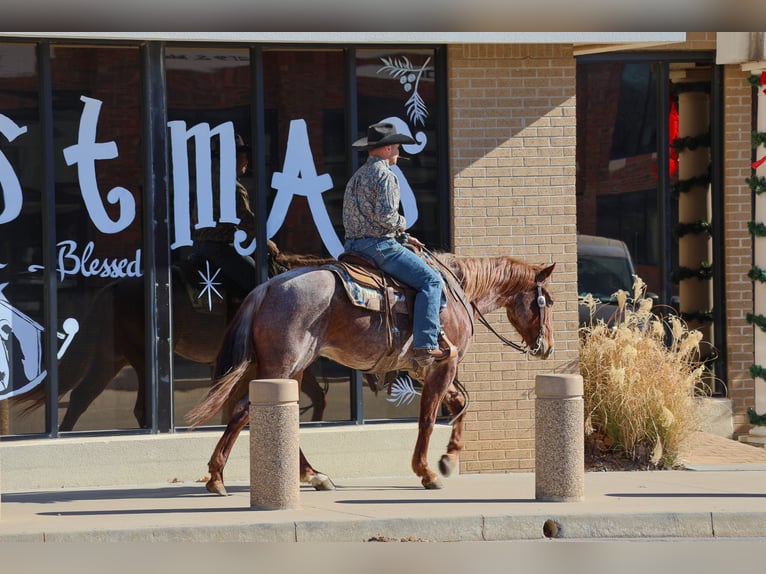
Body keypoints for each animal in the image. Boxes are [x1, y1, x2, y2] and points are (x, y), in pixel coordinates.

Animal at [15, 241, 333, 430]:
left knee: (82, 396)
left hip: (112, 357)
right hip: (140, 358)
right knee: (138, 407)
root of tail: (115, 287)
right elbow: (316, 395)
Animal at [185, 250, 556, 493]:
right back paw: (216, 477)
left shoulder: (429, 370)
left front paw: (449, 458)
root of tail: (266, 288)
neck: (456, 292)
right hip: (283, 366)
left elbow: (459, 404)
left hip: (295, 369)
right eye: (547, 301)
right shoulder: (444, 364)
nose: (547, 347)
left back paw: (314, 475)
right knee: (244, 409)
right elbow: (428, 417)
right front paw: (427, 471)